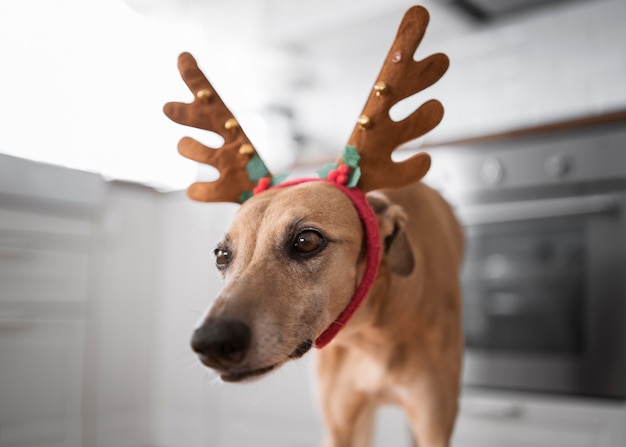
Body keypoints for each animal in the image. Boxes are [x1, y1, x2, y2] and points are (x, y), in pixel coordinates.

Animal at [163, 4, 460, 447]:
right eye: (221, 255)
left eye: (306, 241)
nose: (210, 344)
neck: (370, 333)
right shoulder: (337, 423)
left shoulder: (434, 421)